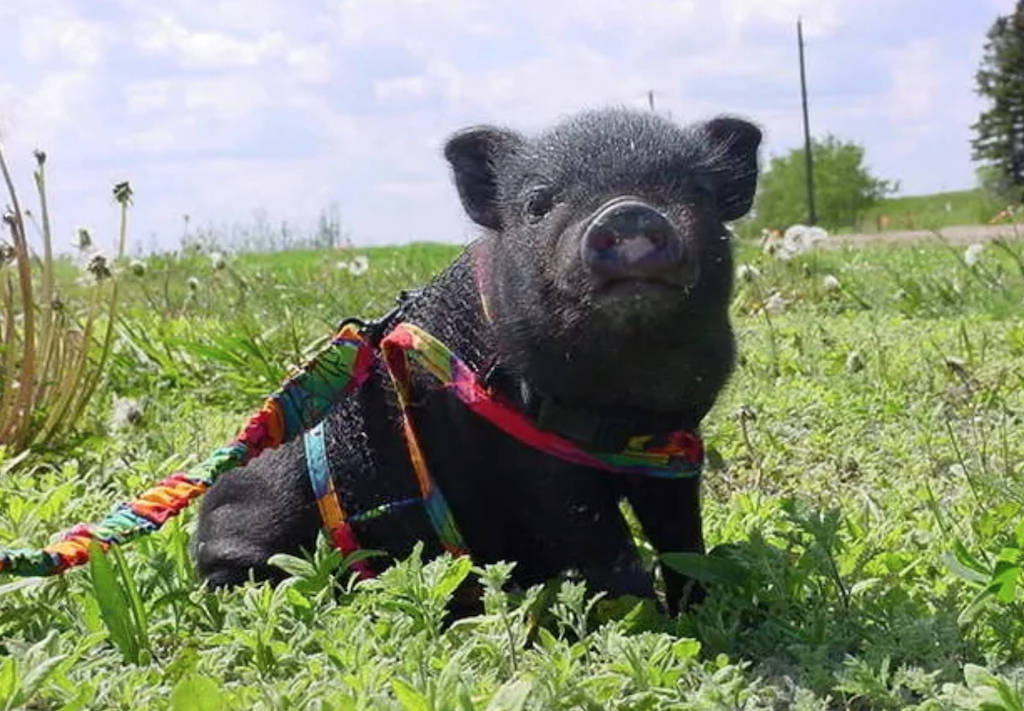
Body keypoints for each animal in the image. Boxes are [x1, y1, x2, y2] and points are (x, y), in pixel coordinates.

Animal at [193, 107, 761, 615]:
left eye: (699, 192)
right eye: (537, 203)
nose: (628, 211)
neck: (626, 406)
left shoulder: (677, 448)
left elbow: (682, 540)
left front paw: (700, 610)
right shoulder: (532, 466)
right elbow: (605, 545)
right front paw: (646, 620)